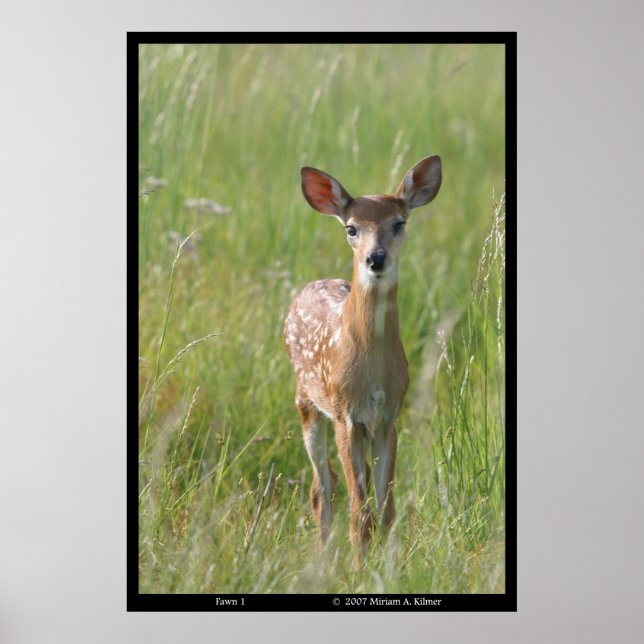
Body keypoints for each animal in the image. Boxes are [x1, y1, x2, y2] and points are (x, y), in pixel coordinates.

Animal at [284, 156, 442, 549]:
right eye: (352, 228)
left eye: (399, 223)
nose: (376, 258)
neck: (372, 370)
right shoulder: (346, 415)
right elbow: (360, 511)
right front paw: (360, 560)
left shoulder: (388, 416)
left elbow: (386, 507)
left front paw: (390, 559)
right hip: (306, 402)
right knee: (321, 489)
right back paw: (323, 556)